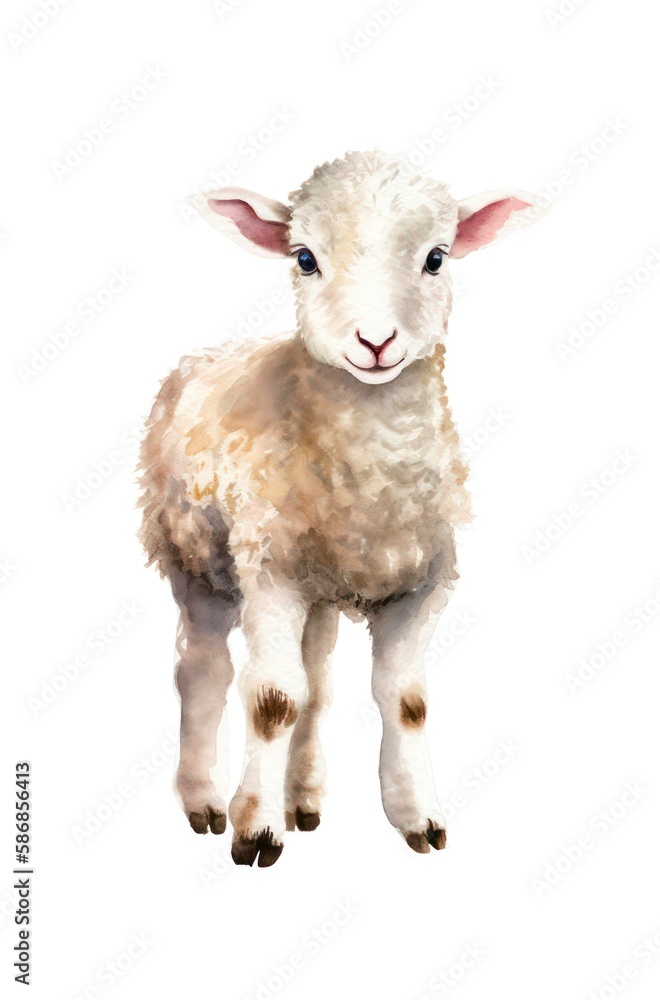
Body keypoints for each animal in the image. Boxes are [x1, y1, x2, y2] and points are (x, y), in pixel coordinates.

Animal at [138, 150, 545, 866]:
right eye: (304, 258)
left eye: (436, 257)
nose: (375, 341)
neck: (372, 486)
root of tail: (206, 352)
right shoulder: (270, 573)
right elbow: (272, 701)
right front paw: (256, 830)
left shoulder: (423, 582)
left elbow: (405, 701)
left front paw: (419, 818)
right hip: (197, 559)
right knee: (204, 672)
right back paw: (204, 800)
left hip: (320, 587)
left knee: (318, 682)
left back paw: (303, 798)